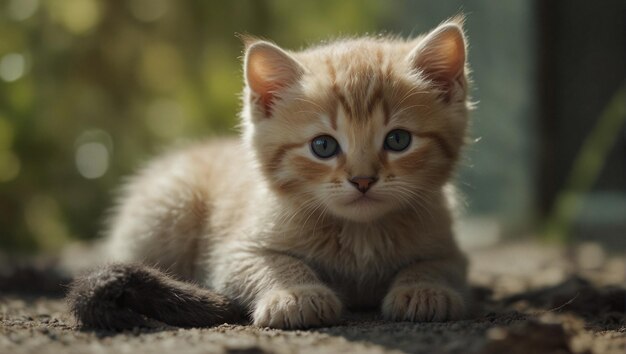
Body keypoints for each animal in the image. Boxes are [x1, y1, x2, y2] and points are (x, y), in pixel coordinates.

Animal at [67, 17, 468, 332]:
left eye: (398, 140)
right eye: (323, 146)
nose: (363, 180)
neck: (360, 234)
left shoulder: (449, 248)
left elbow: (436, 265)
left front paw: (423, 289)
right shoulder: (234, 253)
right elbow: (274, 263)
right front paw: (296, 293)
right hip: (170, 211)